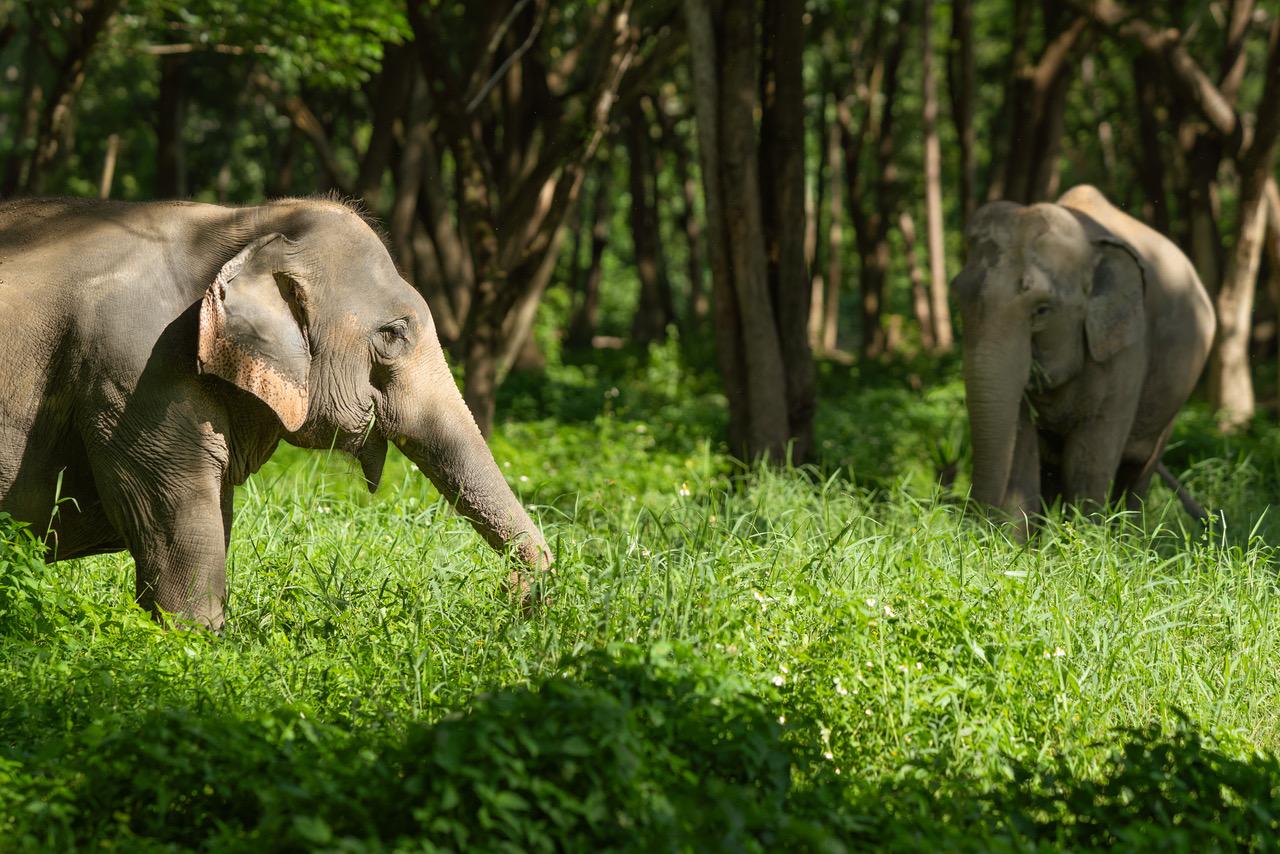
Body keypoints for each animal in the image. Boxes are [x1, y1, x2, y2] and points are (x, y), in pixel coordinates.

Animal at [0, 197, 551, 630]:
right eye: (393, 334)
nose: (516, 592)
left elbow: (213, 512)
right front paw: (192, 645)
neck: (241, 223)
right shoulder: (133, 372)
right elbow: (175, 519)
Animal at [954, 184, 1215, 524]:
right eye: (959, 299)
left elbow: (1087, 462)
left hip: (1174, 396)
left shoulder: (1127, 349)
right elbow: (1021, 449)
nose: (973, 524)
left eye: (1042, 310)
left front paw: (1082, 534)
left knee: (1137, 472)